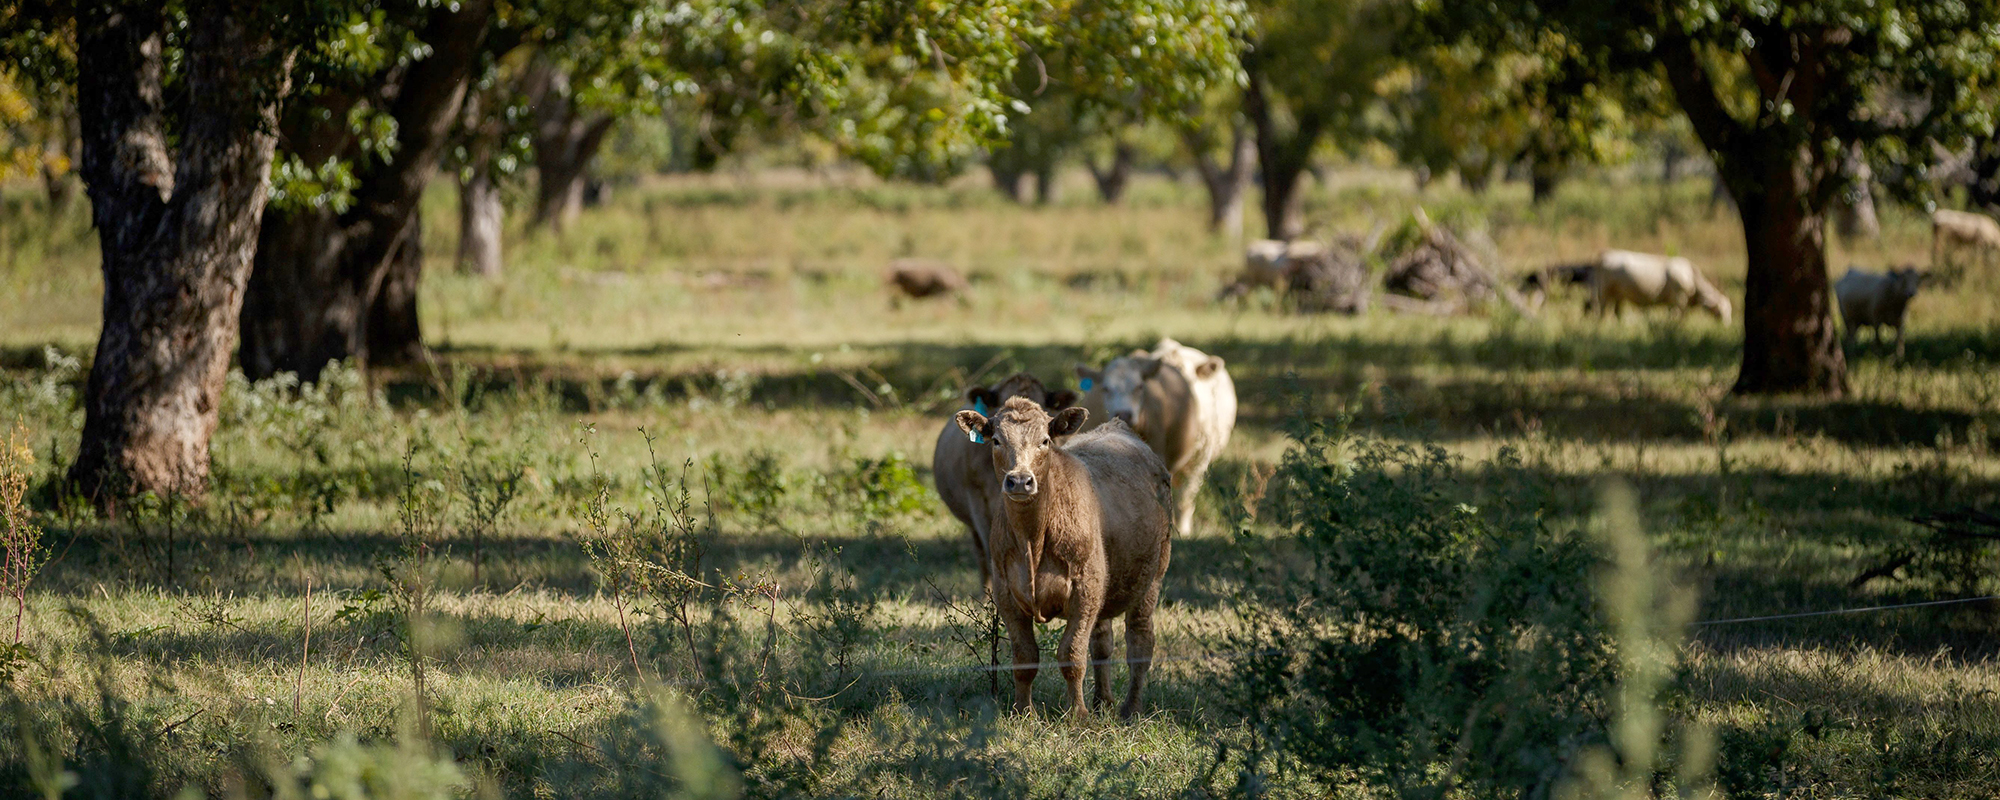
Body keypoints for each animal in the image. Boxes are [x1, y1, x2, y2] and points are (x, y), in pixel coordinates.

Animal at [952, 400, 1168, 720]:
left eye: (1045, 441)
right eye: (996, 440)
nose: (1019, 480)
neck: (1033, 540)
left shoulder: (1085, 588)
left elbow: (1072, 654)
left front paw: (1077, 714)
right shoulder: (1005, 592)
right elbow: (1025, 656)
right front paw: (1023, 712)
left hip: (1151, 580)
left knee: (1139, 644)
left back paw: (1131, 709)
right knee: (1102, 643)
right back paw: (1102, 701)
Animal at [1584, 252, 1728, 324]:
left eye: (1729, 311)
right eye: (1720, 312)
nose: (1726, 326)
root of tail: (1605, 255)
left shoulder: (1674, 303)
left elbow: (1674, 316)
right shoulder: (1679, 299)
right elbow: (1678, 317)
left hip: (1617, 295)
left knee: (1616, 311)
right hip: (1604, 292)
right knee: (1603, 311)